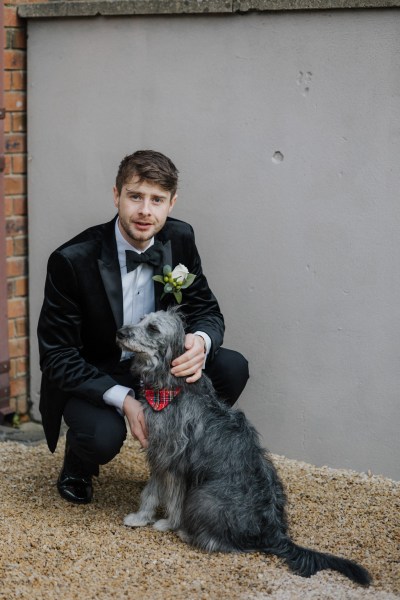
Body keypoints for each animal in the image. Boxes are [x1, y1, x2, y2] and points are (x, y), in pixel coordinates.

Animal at [116, 310, 372, 584]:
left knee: (228, 545)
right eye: (141, 320)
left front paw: (167, 524)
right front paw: (141, 518)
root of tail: (274, 532)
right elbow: (151, 492)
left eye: (153, 328)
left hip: (202, 498)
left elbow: (171, 498)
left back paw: (190, 533)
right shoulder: (158, 457)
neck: (171, 387)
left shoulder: (171, 462)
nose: (120, 332)